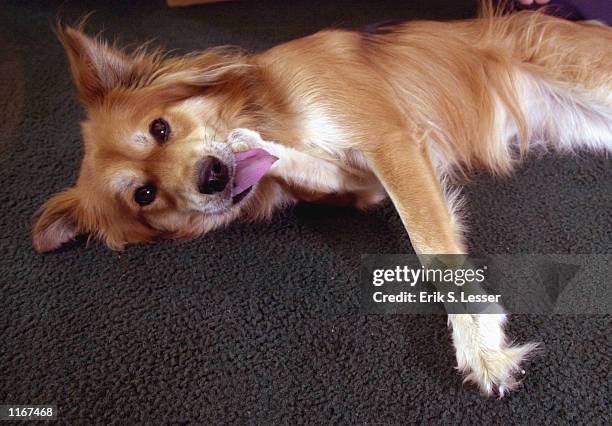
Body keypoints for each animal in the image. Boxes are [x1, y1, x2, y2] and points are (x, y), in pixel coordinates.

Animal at [32, 4, 612, 396]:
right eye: (145, 194)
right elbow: (298, 163)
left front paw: (482, 347)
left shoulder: (391, 142)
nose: (212, 177)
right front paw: (255, 146)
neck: (271, 105)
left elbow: (434, 252)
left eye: (160, 128)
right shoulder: (361, 183)